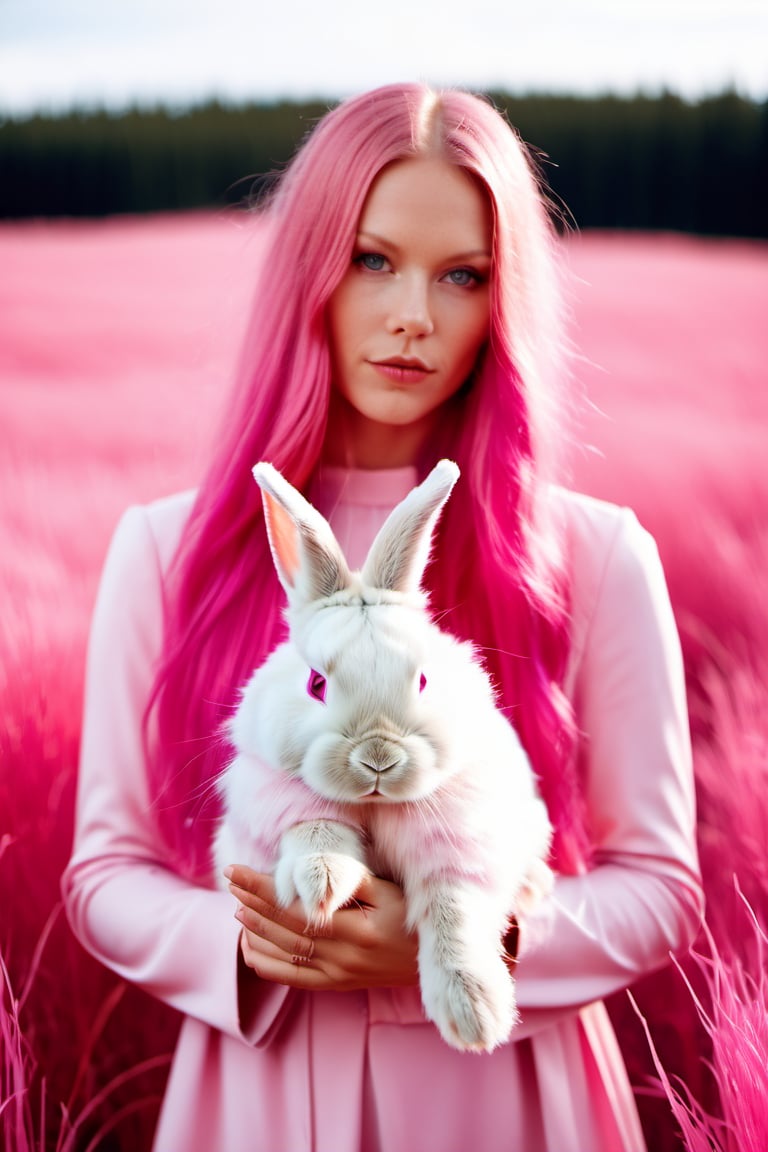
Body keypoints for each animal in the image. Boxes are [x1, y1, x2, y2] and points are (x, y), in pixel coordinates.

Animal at [213, 458, 554, 1055]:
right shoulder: (269, 819)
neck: (374, 807)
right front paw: (323, 881)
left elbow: (454, 912)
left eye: (422, 679)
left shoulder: (461, 847)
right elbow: (314, 829)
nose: (378, 759)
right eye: (316, 683)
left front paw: (474, 1015)